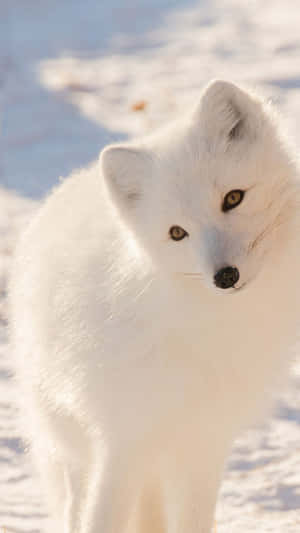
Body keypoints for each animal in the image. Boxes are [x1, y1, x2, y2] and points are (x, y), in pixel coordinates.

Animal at [9, 80, 300, 532]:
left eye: (233, 198)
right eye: (177, 233)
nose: (225, 276)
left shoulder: (204, 443)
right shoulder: (122, 441)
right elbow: (101, 519)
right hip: (73, 439)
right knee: (76, 506)